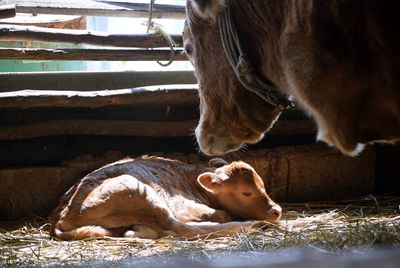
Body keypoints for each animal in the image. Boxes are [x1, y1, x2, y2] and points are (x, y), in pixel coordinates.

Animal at [49, 156, 282, 240]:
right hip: (141, 193)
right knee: (177, 227)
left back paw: (135, 231)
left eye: (263, 185)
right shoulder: (182, 205)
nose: (276, 210)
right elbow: (222, 213)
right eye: (246, 192)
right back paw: (247, 225)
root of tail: (63, 216)